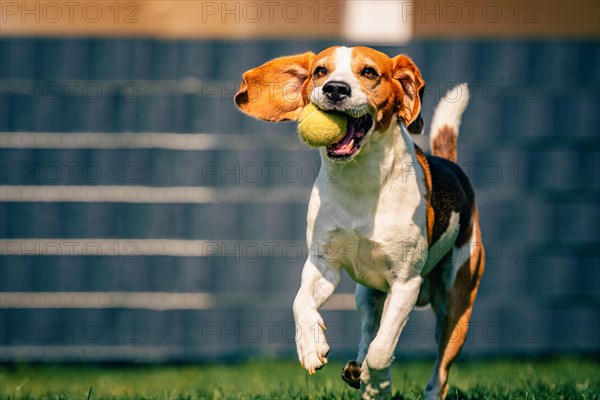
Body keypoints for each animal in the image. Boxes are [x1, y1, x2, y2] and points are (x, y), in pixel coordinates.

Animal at [233, 45, 482, 398]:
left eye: (369, 73)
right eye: (320, 71)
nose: (335, 89)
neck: (360, 178)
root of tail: (452, 166)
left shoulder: (405, 283)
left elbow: (383, 349)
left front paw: (378, 382)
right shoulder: (322, 264)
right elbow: (300, 302)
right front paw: (310, 346)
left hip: (456, 303)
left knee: (438, 367)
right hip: (366, 293)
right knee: (369, 328)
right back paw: (355, 367)